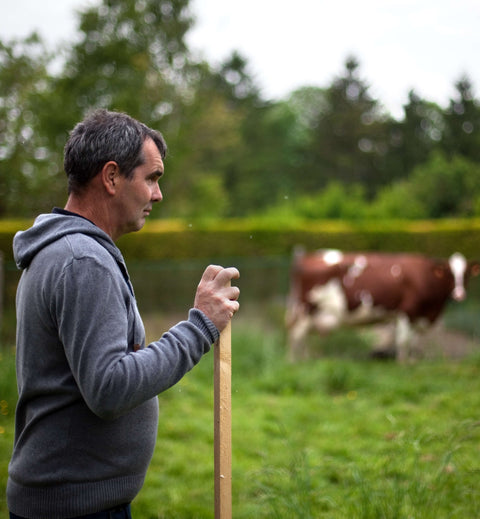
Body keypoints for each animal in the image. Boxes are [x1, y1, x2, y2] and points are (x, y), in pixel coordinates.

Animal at [286, 248, 478, 362]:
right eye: (450, 273)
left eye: (466, 274)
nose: (459, 294)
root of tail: (307, 257)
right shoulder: (406, 311)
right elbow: (403, 340)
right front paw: (403, 365)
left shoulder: (418, 316)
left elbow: (414, 341)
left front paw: (413, 362)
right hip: (305, 310)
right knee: (296, 335)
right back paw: (296, 361)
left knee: (302, 337)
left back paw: (306, 358)